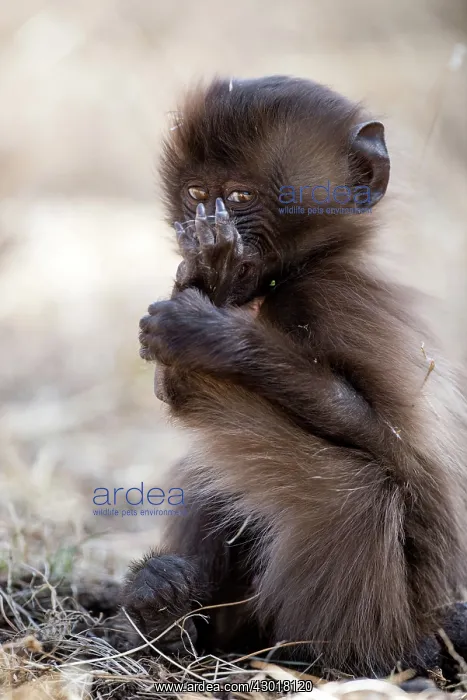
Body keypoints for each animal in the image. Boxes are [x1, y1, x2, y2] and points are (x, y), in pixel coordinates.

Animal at [122, 76, 467, 677]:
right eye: (195, 194)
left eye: (239, 198)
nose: (196, 233)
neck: (298, 271)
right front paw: (202, 281)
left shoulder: (330, 300)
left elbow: (394, 448)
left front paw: (210, 328)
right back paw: (165, 616)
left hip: (405, 617)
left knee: (352, 491)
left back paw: (342, 663)